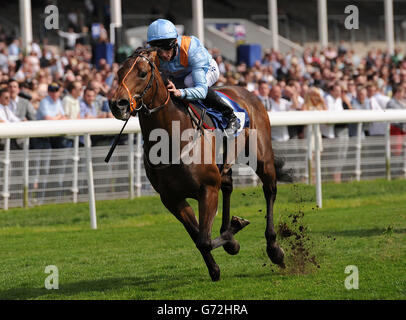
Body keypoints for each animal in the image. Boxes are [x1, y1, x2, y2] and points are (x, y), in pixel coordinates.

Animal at [108, 47, 288, 280]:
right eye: (118, 73)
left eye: (142, 73)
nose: (117, 104)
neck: (171, 139)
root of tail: (247, 92)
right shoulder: (171, 199)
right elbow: (198, 237)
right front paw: (220, 259)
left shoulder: (207, 189)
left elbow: (204, 240)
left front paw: (234, 231)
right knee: (228, 186)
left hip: (262, 157)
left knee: (270, 190)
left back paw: (274, 249)